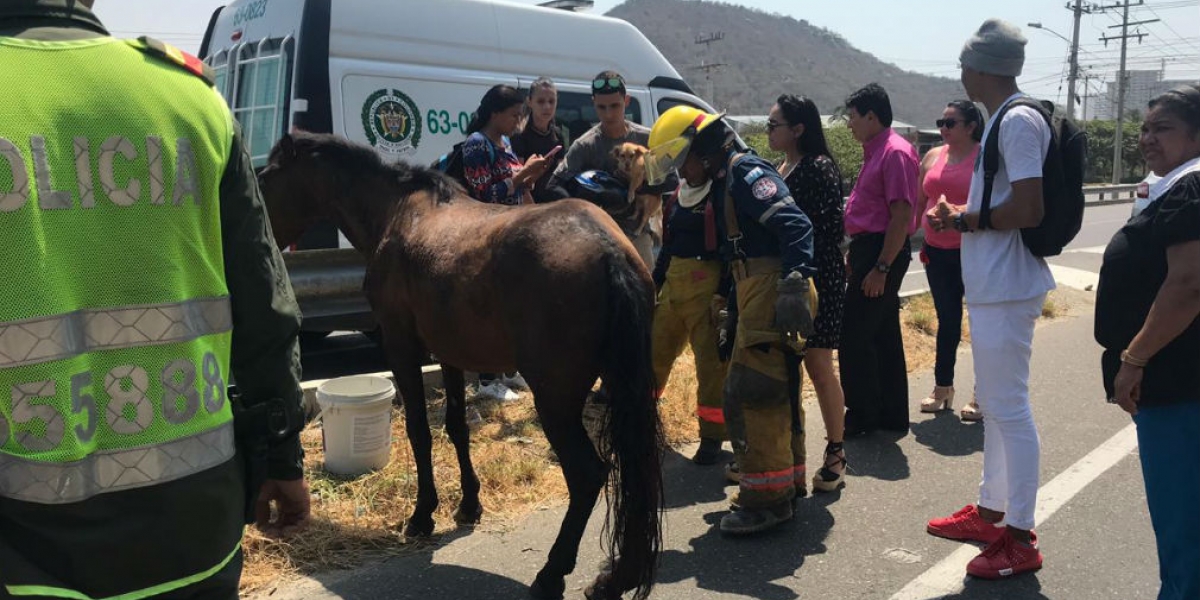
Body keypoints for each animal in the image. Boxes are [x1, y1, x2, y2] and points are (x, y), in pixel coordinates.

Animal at [258, 132, 667, 600]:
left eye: (266, 178)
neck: (399, 212)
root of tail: (609, 251)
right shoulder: (450, 353)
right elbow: (457, 428)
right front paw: (470, 504)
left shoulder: (401, 347)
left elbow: (419, 430)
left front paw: (423, 515)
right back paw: (617, 577)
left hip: (556, 400)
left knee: (587, 475)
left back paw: (552, 573)